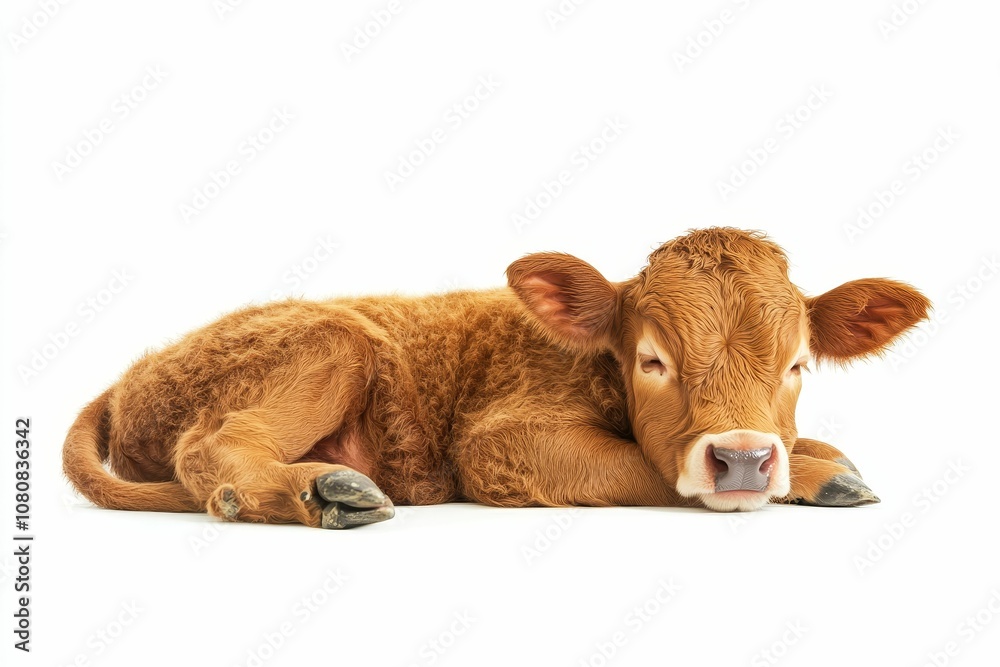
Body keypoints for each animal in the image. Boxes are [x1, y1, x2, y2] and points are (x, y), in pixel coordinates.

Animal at [63, 228, 930, 528]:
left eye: (797, 364)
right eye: (652, 358)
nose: (744, 457)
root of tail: (140, 366)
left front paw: (821, 462)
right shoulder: (499, 443)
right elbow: (639, 466)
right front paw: (815, 475)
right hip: (327, 342)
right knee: (212, 446)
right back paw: (321, 490)